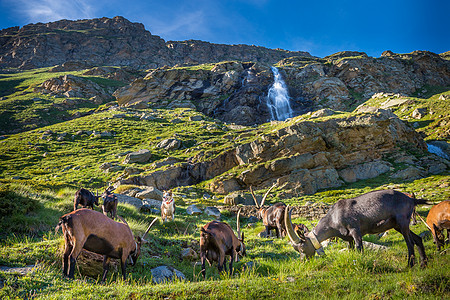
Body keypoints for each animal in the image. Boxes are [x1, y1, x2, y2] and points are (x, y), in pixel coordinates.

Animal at [286, 190, 428, 268]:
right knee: (417, 239)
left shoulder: (355, 230)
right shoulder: (348, 238)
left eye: (302, 248)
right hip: (397, 225)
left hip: (402, 221)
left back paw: (410, 265)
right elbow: (351, 250)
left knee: (410, 243)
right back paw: (423, 264)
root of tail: (411, 200)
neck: (333, 218)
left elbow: (360, 249)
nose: (303, 262)